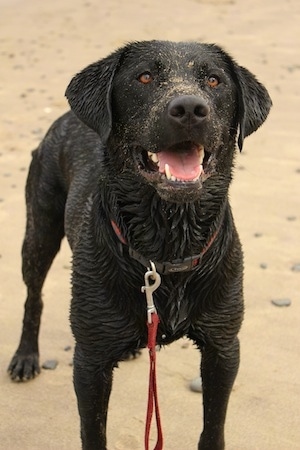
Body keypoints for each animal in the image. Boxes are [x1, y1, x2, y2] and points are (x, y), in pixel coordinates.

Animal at [8, 40, 272, 448]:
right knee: (32, 296)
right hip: (39, 232)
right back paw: (25, 356)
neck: (168, 245)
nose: (189, 109)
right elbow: (93, 432)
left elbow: (213, 427)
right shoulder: (90, 361)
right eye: (144, 77)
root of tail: (67, 117)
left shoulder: (224, 347)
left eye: (214, 80)